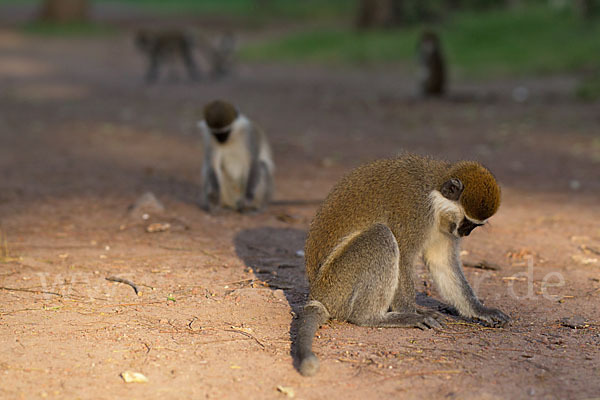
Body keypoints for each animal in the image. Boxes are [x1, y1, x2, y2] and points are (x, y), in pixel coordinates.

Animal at [298, 153, 508, 376]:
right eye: (467, 222)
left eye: (474, 226)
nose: (465, 233)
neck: (433, 192)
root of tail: (317, 294)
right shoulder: (415, 210)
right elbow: (405, 256)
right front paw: (410, 314)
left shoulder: (443, 226)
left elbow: (442, 263)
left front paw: (481, 310)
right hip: (338, 285)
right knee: (381, 235)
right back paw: (374, 317)